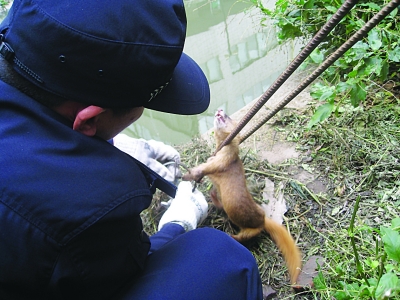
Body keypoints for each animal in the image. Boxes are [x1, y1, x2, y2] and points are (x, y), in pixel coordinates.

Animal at [183, 108, 302, 284]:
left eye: (228, 116)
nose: (220, 109)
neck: (222, 150)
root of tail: (263, 219)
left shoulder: (223, 160)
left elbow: (207, 167)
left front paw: (188, 174)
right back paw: (213, 196)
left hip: (250, 230)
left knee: (241, 237)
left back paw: (230, 235)